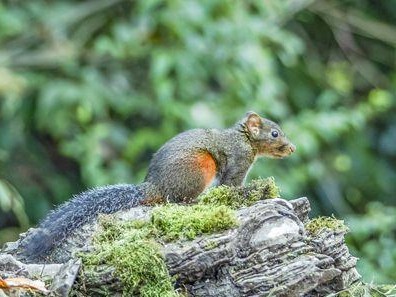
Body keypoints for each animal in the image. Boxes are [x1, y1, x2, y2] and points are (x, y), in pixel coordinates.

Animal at [17, 111, 294, 262]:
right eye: (275, 134)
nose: (292, 148)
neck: (244, 139)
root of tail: (155, 187)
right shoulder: (237, 162)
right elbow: (232, 186)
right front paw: (250, 193)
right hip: (199, 168)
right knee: (178, 199)